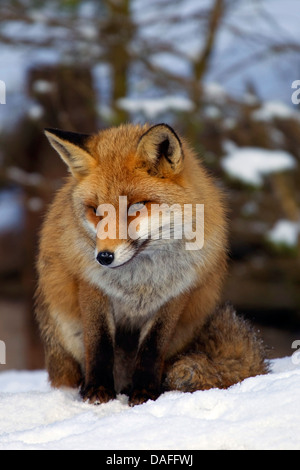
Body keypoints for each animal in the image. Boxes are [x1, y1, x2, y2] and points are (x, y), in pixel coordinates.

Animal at [35, 123, 268, 406]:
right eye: (96, 211)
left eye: (135, 206)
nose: (104, 257)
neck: (141, 281)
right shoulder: (91, 287)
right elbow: (99, 345)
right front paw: (97, 391)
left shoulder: (176, 295)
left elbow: (151, 349)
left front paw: (144, 394)